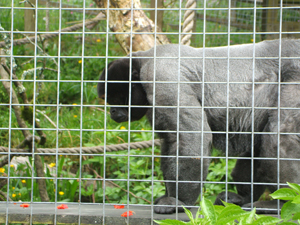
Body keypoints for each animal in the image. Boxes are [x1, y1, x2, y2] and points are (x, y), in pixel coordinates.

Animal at [98, 39, 300, 214]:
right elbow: (171, 141)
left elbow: (192, 135)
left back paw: (283, 202)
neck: (142, 61)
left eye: (116, 99)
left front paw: (178, 201)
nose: (112, 111)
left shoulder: (161, 77)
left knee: (279, 137)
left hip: (294, 77)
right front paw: (169, 195)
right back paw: (242, 198)